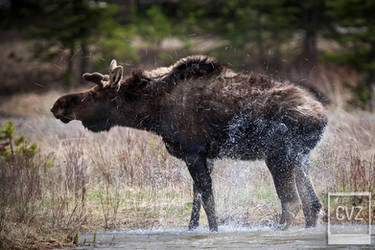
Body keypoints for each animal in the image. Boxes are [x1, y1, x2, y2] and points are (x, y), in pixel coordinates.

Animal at [51, 55, 328, 231]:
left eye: (92, 95)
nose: (58, 105)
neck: (153, 115)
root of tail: (322, 117)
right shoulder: (206, 156)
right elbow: (197, 198)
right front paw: (192, 229)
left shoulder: (193, 153)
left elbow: (207, 200)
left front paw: (214, 231)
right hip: (300, 158)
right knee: (313, 204)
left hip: (278, 156)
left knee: (291, 203)